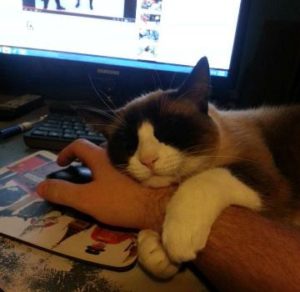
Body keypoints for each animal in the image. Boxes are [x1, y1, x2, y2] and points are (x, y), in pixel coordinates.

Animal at [79, 56, 300, 278]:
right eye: (129, 144)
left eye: (168, 131)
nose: (148, 160)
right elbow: (151, 257)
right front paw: (157, 250)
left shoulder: (268, 178)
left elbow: (204, 179)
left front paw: (177, 238)